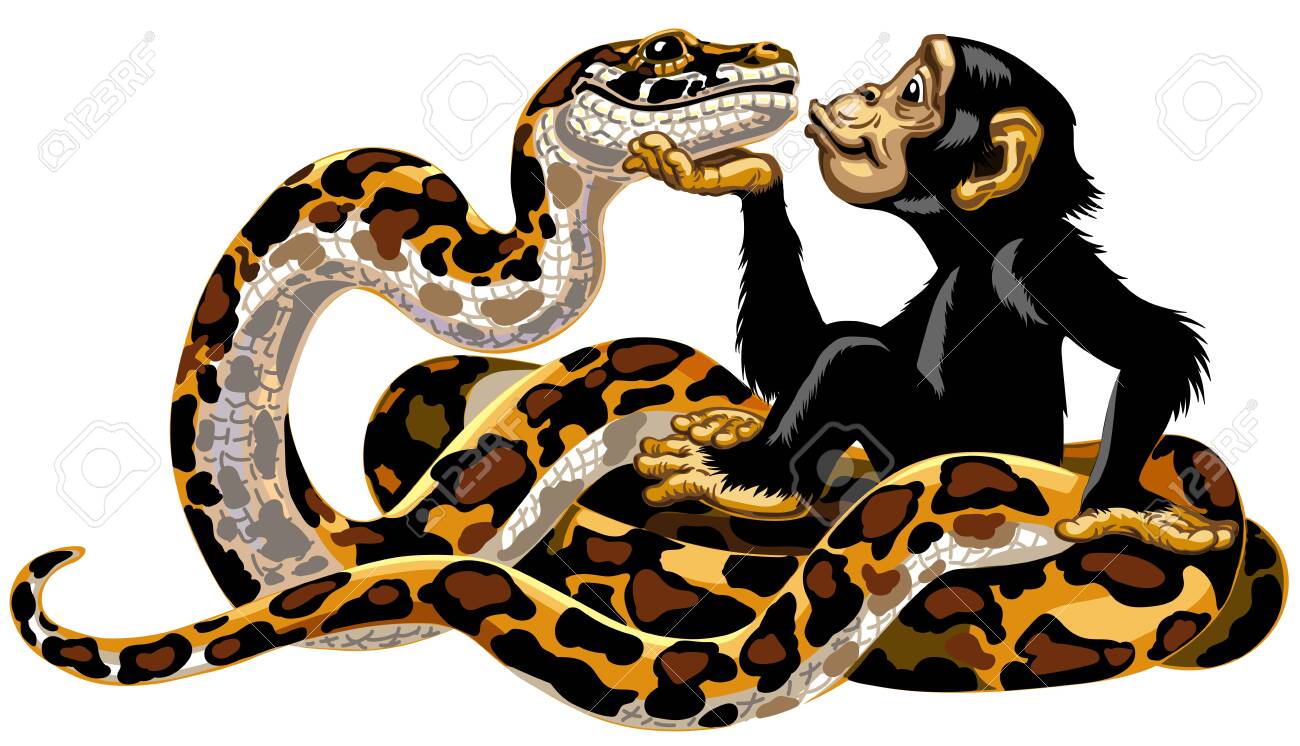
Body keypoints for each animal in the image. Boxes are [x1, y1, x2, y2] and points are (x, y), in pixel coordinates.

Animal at [621, 34, 1237, 554]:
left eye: (912, 91)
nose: (869, 90)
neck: (974, 243)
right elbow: (792, 356)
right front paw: (741, 170)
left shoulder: (1037, 261)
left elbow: (1157, 348)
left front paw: (1120, 507)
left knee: (854, 357)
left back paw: (742, 479)